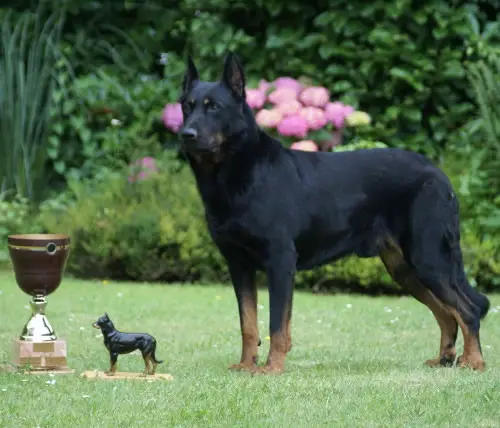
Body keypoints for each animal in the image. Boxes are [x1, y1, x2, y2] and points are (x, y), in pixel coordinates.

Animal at [178, 52, 490, 374]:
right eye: (186, 106)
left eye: (214, 107)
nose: (185, 134)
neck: (236, 170)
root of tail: (441, 176)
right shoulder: (238, 264)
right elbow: (248, 324)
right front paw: (246, 365)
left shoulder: (280, 260)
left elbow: (277, 324)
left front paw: (272, 368)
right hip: (404, 267)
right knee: (446, 312)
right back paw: (445, 359)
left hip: (427, 257)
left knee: (468, 309)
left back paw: (474, 361)